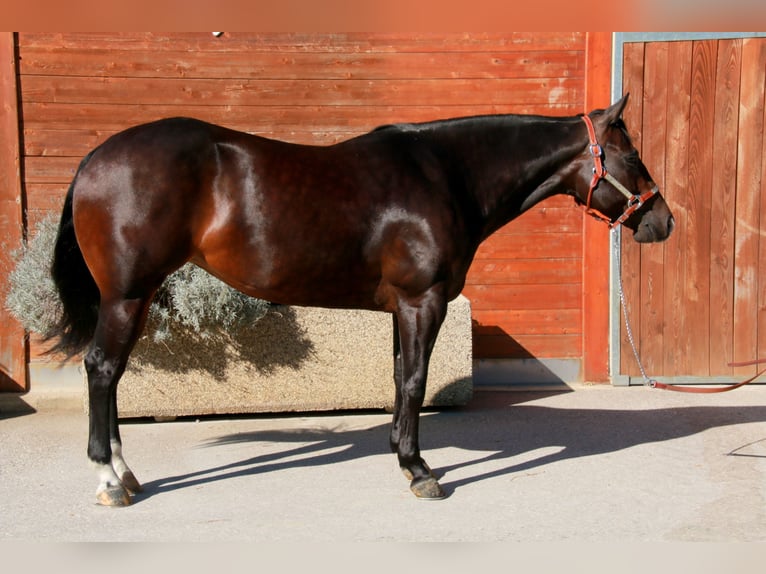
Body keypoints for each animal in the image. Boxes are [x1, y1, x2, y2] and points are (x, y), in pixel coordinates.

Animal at [46, 93, 674, 506]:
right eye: (633, 155)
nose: (663, 222)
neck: (446, 176)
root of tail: (96, 158)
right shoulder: (424, 301)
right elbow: (415, 382)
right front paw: (420, 470)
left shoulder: (403, 308)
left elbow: (400, 379)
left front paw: (402, 454)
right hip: (126, 294)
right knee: (102, 369)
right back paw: (109, 480)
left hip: (136, 295)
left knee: (113, 374)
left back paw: (125, 473)